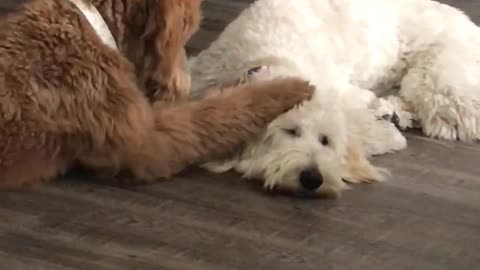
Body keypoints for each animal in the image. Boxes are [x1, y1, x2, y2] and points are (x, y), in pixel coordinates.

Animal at [0, 0, 316, 190]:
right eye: (188, 27)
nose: (186, 80)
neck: (94, 26)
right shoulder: (149, 142)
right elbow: (215, 115)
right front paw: (289, 88)